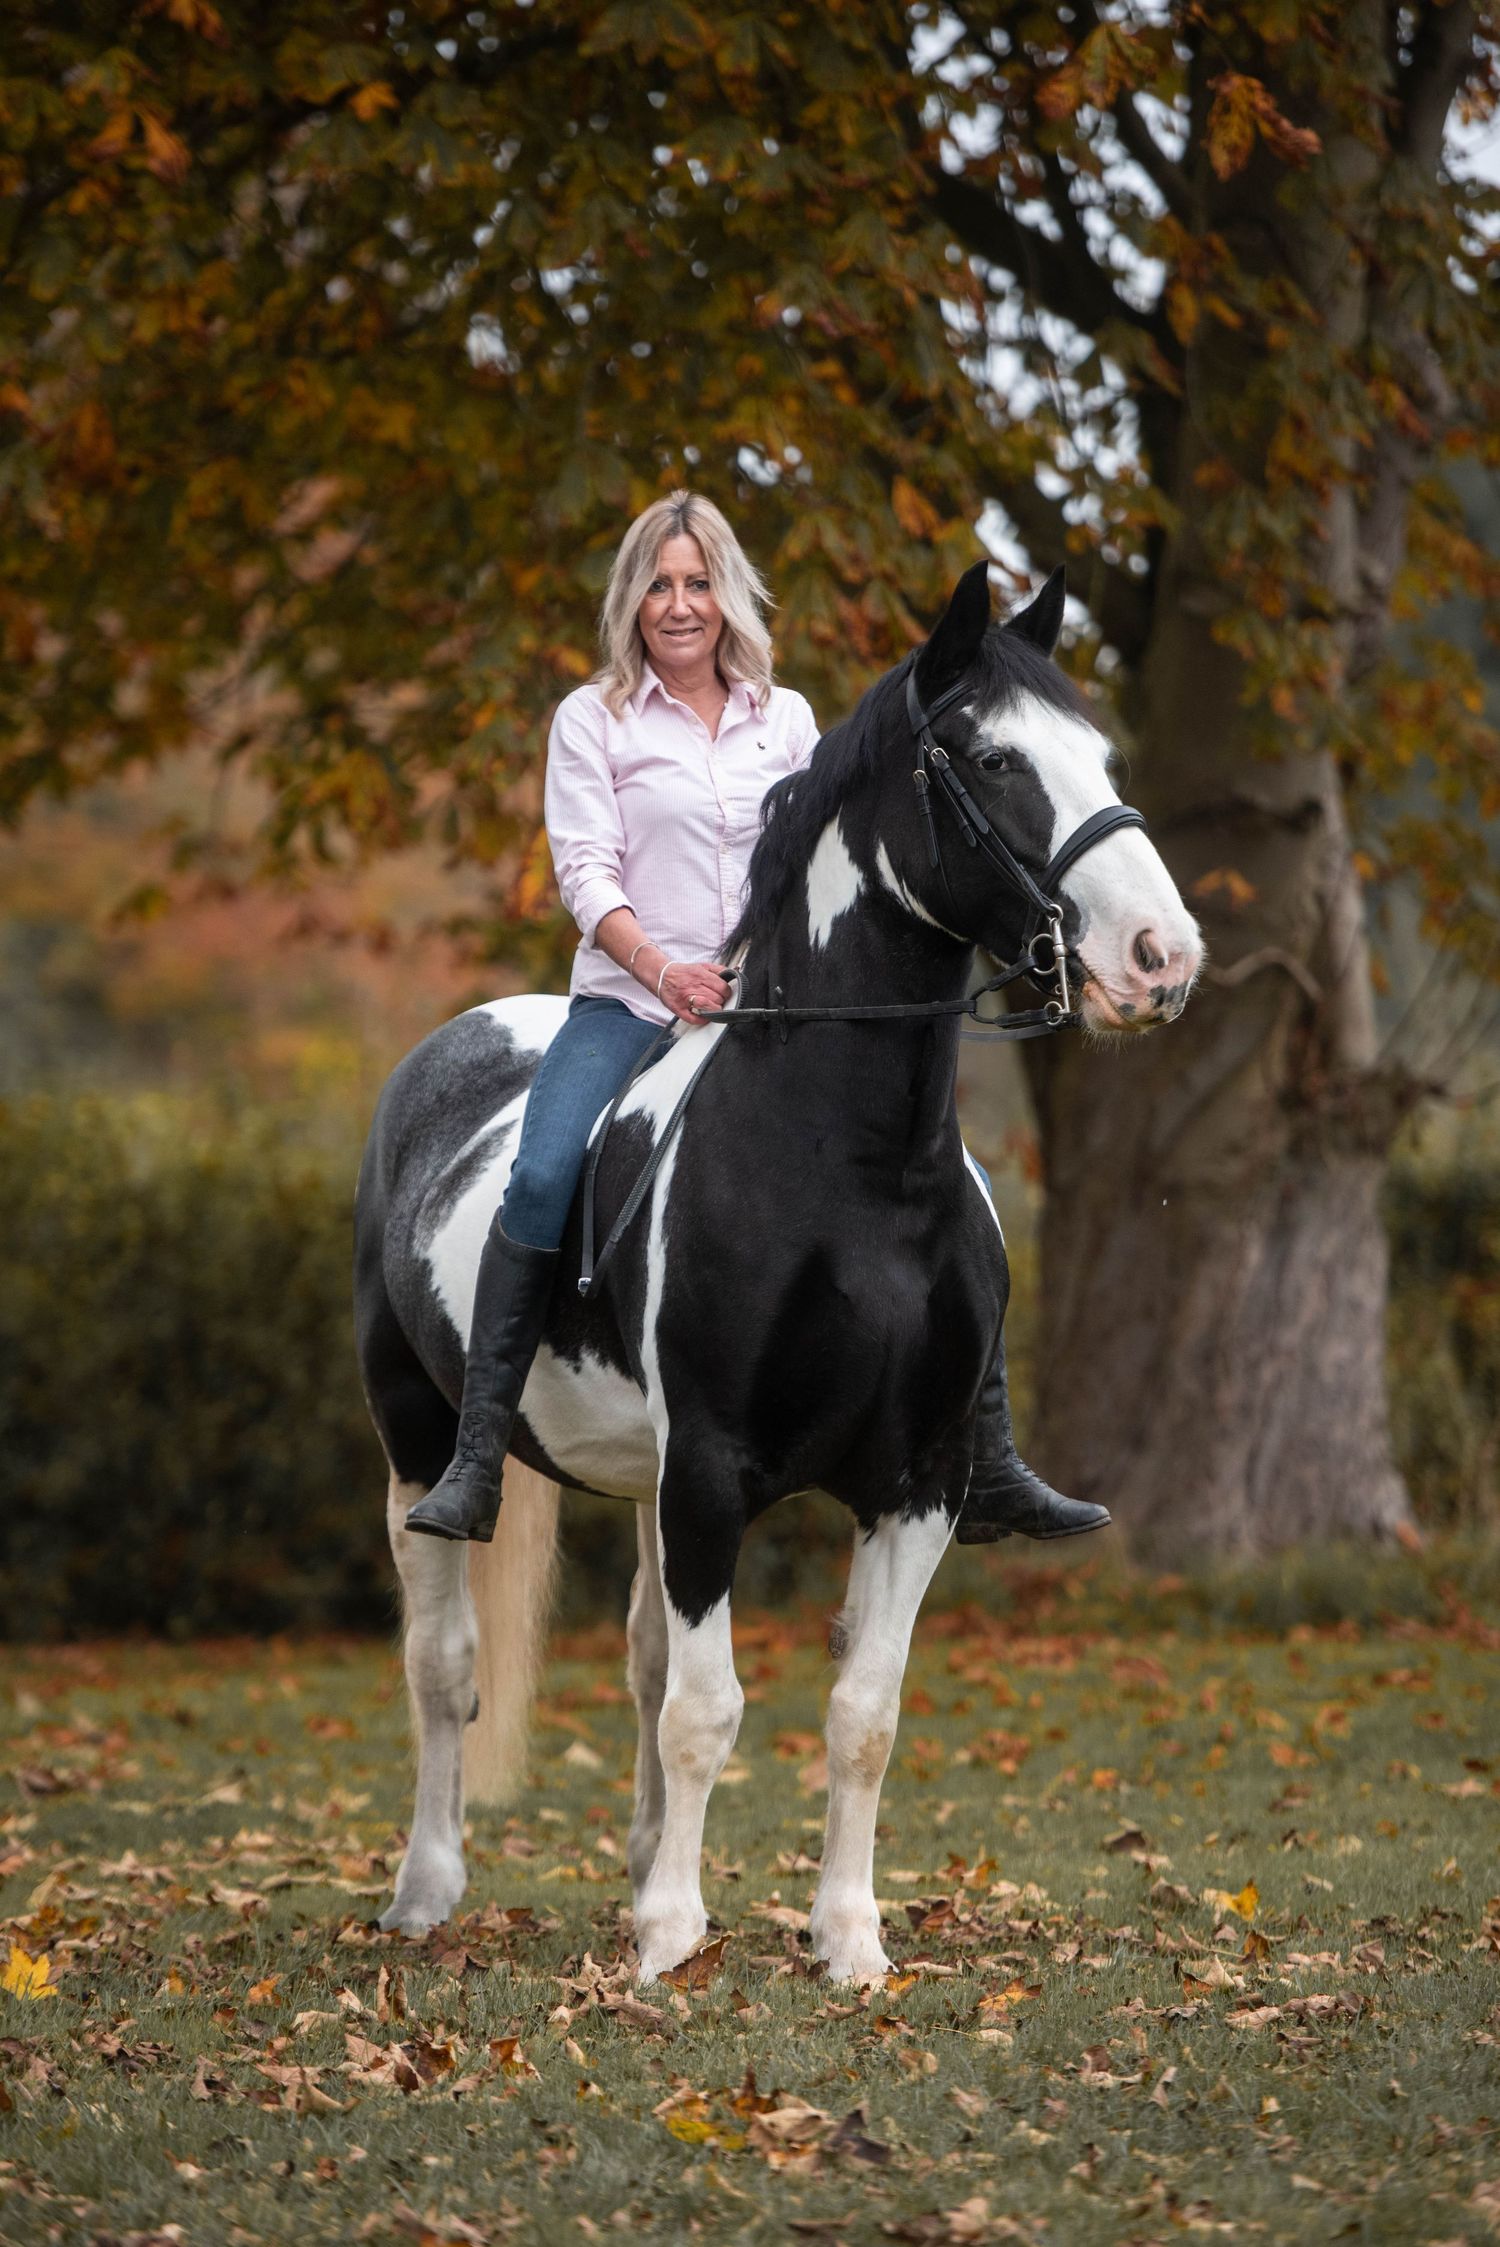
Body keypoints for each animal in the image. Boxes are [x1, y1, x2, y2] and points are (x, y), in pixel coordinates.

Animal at [353, 562, 1203, 1983]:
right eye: (990, 759)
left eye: (1103, 757)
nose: (1162, 959)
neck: (849, 1173)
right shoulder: (711, 1471)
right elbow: (710, 1710)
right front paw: (670, 1944)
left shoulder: (915, 1486)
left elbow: (861, 1712)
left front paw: (845, 1941)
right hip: (420, 1438)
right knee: (443, 1665)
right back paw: (428, 1889)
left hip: (642, 1476)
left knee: (640, 1661)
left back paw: (639, 1865)